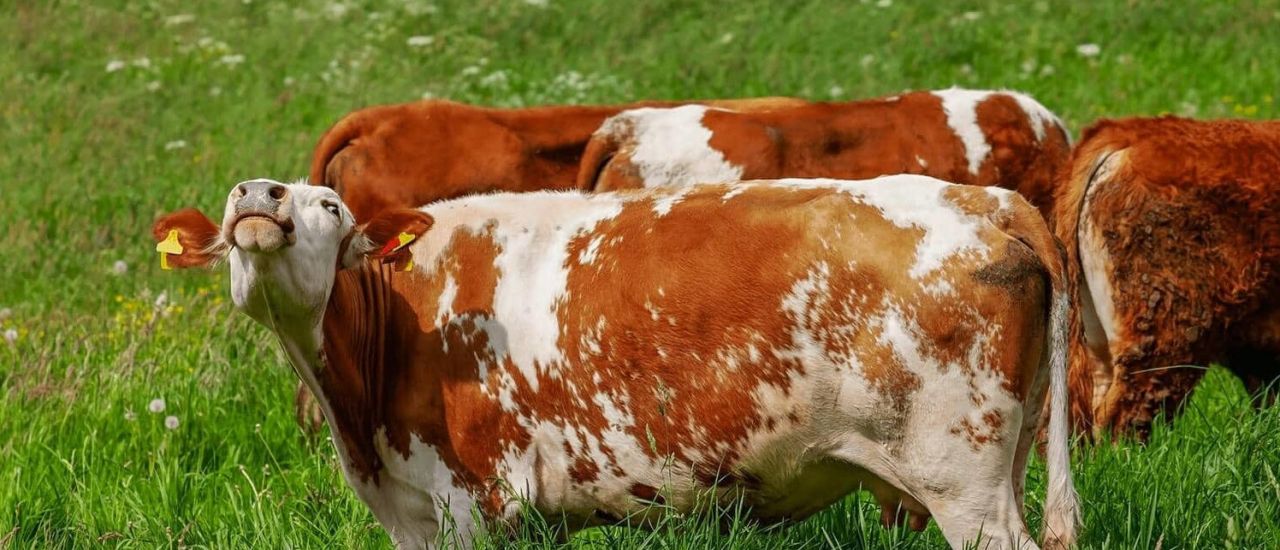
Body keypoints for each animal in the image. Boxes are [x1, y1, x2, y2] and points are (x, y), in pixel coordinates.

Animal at [157, 177, 1080, 550]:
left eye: (329, 204)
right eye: (241, 196)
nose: (259, 197)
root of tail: (986, 198)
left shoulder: (471, 504)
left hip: (962, 480)